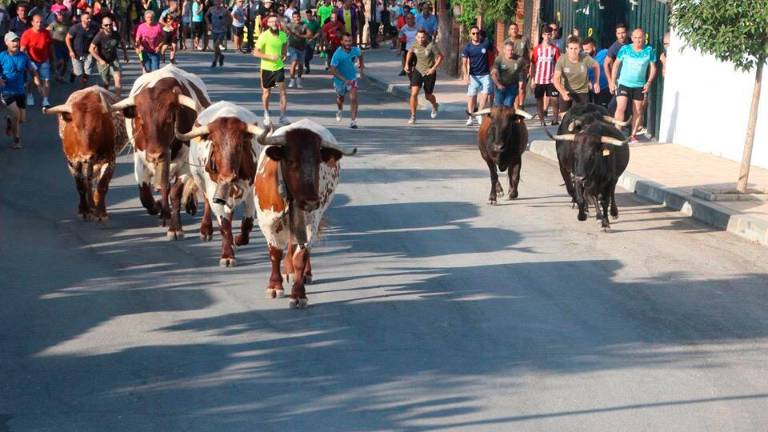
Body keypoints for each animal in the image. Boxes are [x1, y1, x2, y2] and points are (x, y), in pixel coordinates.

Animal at [44, 88, 129, 223]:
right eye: (75, 127)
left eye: (98, 128)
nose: (86, 156)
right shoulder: (72, 162)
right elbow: (80, 186)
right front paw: (84, 210)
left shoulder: (110, 160)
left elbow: (102, 186)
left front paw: (101, 212)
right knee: (87, 181)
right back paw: (90, 206)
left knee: (92, 181)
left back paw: (94, 205)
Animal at [109, 64, 208, 240]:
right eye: (141, 120)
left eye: (169, 119)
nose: (156, 155)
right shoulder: (140, 159)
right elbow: (145, 195)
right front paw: (156, 207)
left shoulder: (184, 164)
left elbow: (175, 193)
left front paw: (175, 228)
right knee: (163, 187)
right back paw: (163, 212)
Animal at [176, 102, 266, 266]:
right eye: (215, 145)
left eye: (239, 146)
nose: (227, 176)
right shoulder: (214, 191)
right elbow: (224, 224)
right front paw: (227, 255)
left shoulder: (250, 190)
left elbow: (247, 221)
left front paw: (238, 240)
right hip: (200, 180)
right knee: (207, 203)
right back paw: (206, 230)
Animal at [255, 118, 356, 308]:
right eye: (291, 161)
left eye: (318, 162)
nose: (311, 202)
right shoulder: (267, 222)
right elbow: (275, 253)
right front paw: (274, 286)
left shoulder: (311, 222)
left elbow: (300, 257)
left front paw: (298, 293)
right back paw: (288, 271)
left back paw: (303, 273)